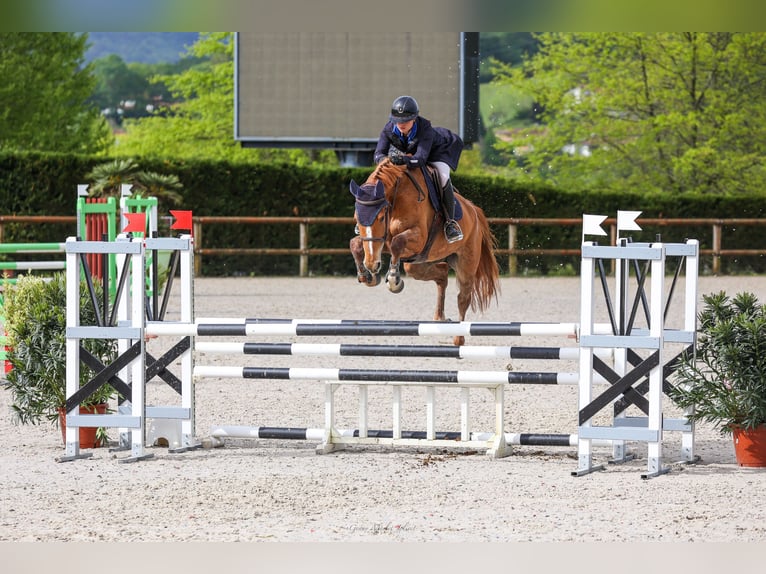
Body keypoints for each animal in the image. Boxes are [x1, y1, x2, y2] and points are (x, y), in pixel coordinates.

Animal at [350, 158, 504, 346]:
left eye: (380, 218)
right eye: (357, 219)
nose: (372, 264)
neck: (397, 198)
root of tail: (474, 210)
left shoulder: (417, 238)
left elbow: (397, 243)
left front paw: (393, 280)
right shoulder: (384, 241)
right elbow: (355, 243)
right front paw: (366, 275)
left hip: (466, 264)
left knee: (463, 297)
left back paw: (458, 338)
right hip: (420, 262)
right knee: (442, 274)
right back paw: (440, 317)